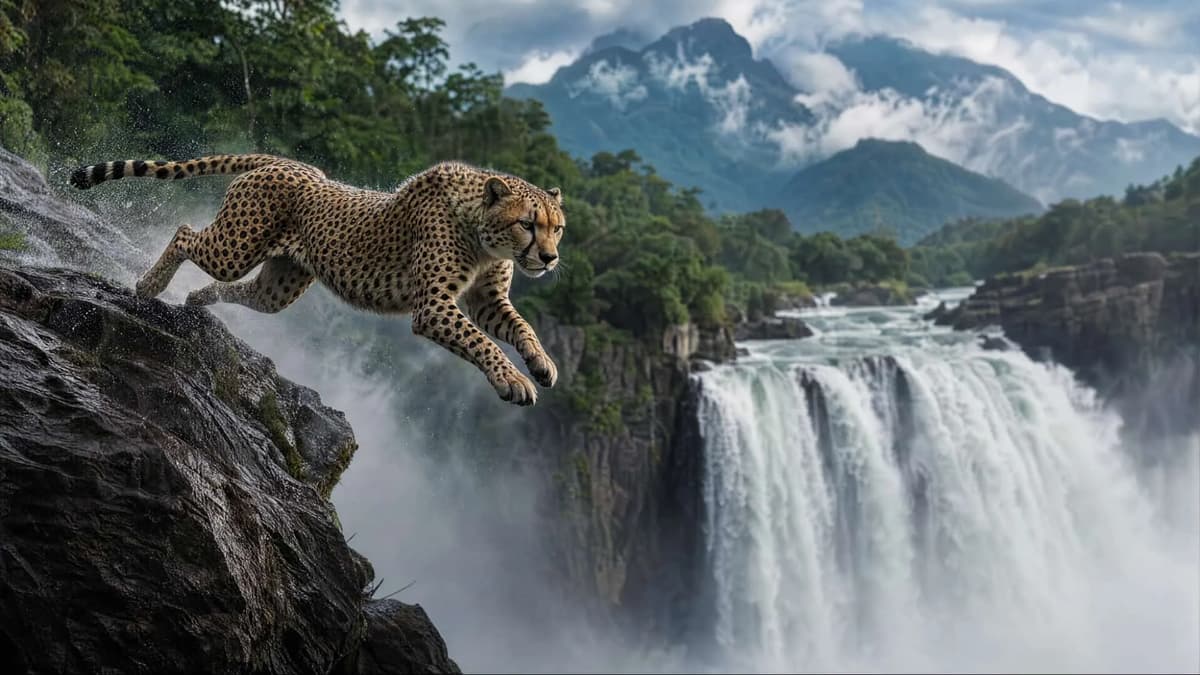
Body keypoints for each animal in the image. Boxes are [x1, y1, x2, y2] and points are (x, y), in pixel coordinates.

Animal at [69, 154, 565, 407]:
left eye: (557, 227)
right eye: (528, 224)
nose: (549, 258)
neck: (484, 232)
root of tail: (288, 163)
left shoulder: (487, 300)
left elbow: (520, 328)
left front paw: (541, 364)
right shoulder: (434, 306)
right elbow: (483, 343)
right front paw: (512, 380)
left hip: (278, 287)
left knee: (240, 290)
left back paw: (195, 298)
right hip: (234, 249)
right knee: (185, 233)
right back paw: (150, 286)